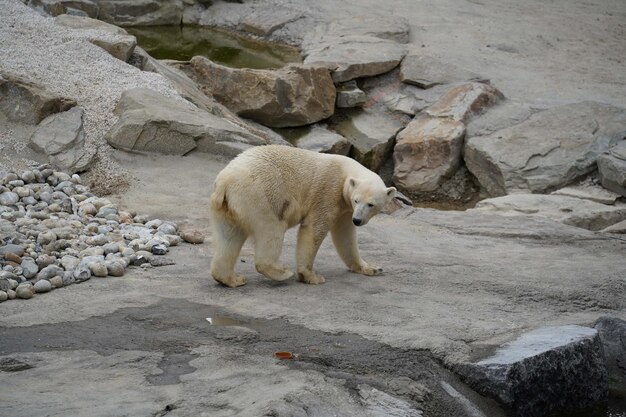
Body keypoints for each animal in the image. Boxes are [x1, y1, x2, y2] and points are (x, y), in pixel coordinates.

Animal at [207, 144, 398, 286]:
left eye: (371, 204)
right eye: (357, 200)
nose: (357, 220)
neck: (345, 171)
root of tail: (225, 182)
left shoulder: (346, 209)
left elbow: (345, 235)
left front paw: (372, 268)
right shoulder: (328, 192)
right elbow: (314, 228)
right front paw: (311, 276)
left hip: (227, 207)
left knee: (229, 237)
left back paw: (232, 279)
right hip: (261, 195)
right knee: (271, 230)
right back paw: (282, 272)